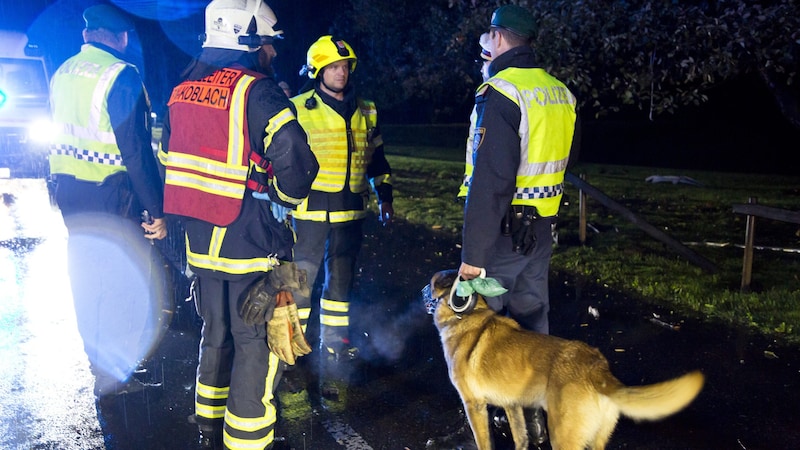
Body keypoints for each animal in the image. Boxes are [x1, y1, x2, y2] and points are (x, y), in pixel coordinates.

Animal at [422, 270, 704, 450]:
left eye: (431, 283)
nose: (421, 290)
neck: (467, 315)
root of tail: (597, 368)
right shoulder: (513, 405)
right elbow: (521, 438)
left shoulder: (474, 405)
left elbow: (483, 441)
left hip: (563, 437)